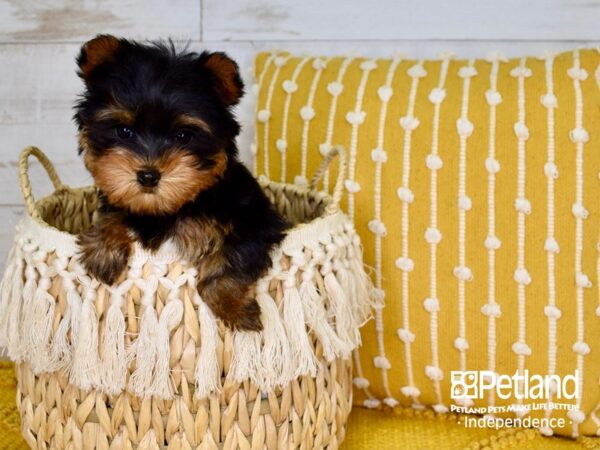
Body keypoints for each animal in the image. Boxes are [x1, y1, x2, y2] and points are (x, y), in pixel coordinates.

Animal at [74, 36, 290, 330]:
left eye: (184, 136)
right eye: (124, 131)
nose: (148, 175)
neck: (168, 208)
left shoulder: (255, 221)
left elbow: (234, 256)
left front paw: (234, 308)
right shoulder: (120, 198)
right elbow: (114, 213)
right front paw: (104, 249)